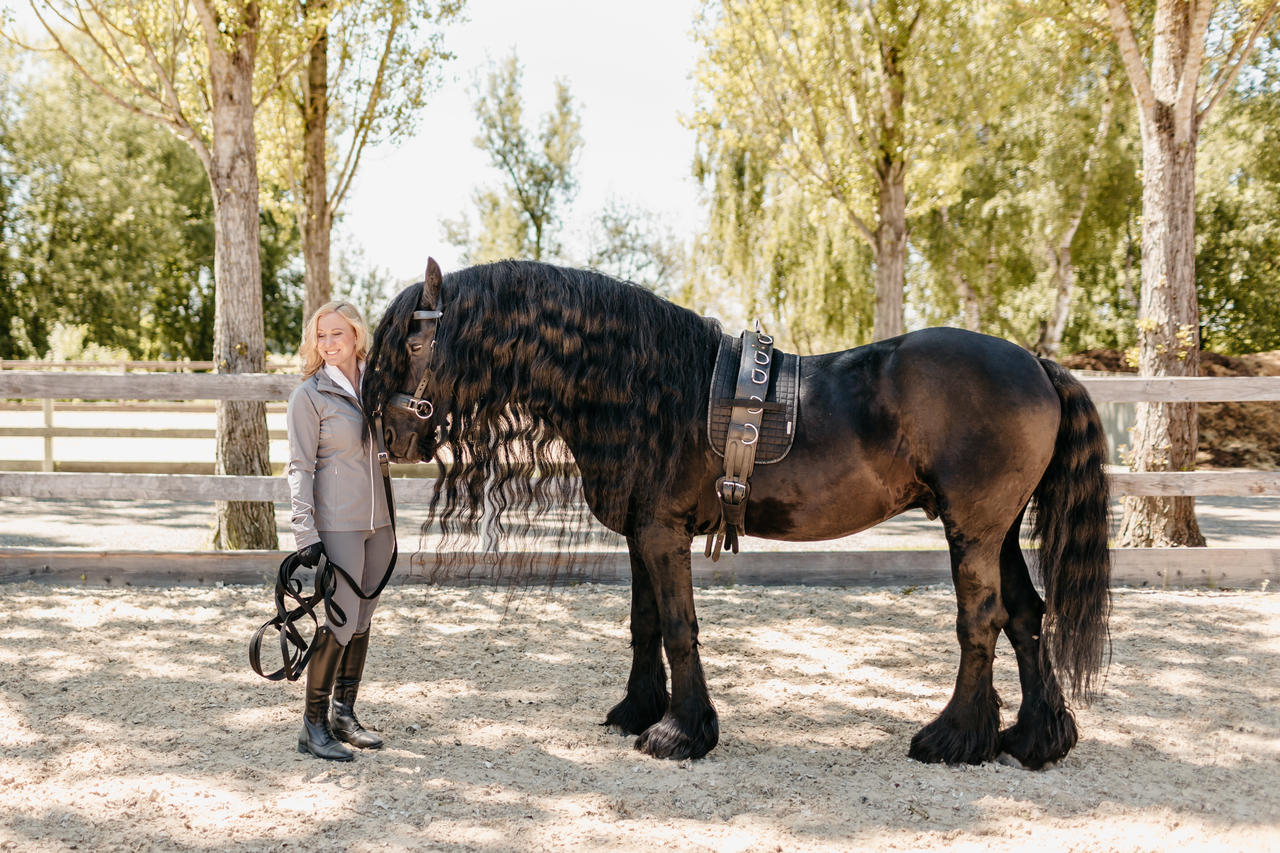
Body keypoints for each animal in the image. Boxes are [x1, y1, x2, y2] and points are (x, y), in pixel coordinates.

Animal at [363, 256, 1111, 768]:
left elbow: (679, 627)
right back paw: (1034, 739)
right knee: (1026, 616)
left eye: (411, 341)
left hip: (974, 530)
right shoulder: (642, 532)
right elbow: (644, 624)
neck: (639, 383)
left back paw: (954, 737)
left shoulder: (661, 531)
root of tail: (1038, 364)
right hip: (998, 530)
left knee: (982, 620)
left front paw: (680, 731)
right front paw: (638, 710)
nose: (393, 435)